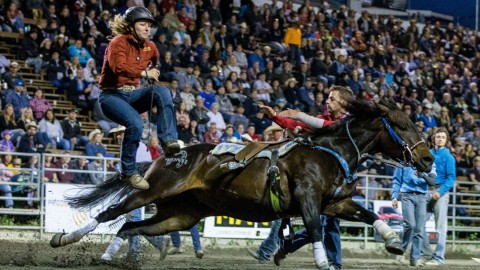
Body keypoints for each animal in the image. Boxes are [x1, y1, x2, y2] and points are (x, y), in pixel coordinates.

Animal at [50, 99, 434, 270]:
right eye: (402, 124)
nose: (428, 159)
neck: (329, 151)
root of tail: (169, 155)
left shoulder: (334, 203)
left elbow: (369, 216)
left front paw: (394, 242)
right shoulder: (308, 199)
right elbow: (313, 229)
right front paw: (320, 261)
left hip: (180, 214)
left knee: (131, 227)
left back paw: (108, 257)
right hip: (152, 190)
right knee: (111, 213)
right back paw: (63, 239)